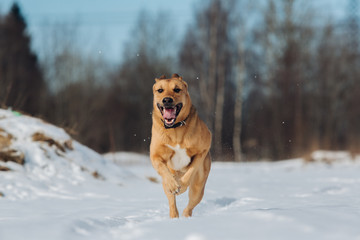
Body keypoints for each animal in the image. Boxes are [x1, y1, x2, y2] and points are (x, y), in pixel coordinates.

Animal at [149, 73, 211, 218]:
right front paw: (173, 185)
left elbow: (192, 169)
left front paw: (182, 186)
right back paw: (174, 216)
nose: (167, 100)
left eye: (177, 89)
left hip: (198, 187)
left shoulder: (203, 149)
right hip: (166, 186)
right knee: (172, 201)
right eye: (160, 90)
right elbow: (163, 169)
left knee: (190, 205)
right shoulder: (155, 155)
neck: (175, 129)